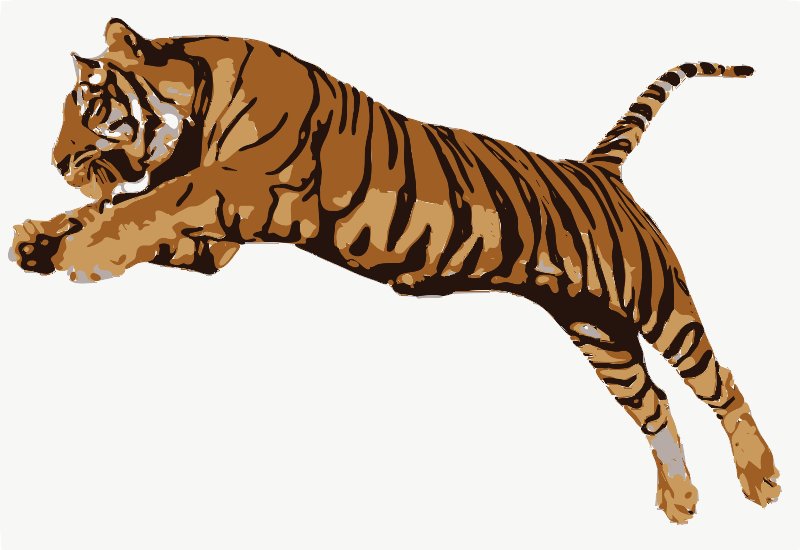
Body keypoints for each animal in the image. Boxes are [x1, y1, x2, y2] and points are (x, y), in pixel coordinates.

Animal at [9, 19, 780, 523]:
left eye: (92, 106)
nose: (56, 162)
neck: (197, 106)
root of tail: (597, 167)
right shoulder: (214, 242)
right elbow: (127, 210)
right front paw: (41, 241)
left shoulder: (236, 187)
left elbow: (145, 204)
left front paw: (80, 252)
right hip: (597, 330)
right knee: (653, 403)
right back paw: (680, 501)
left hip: (658, 304)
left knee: (719, 382)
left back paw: (762, 478)